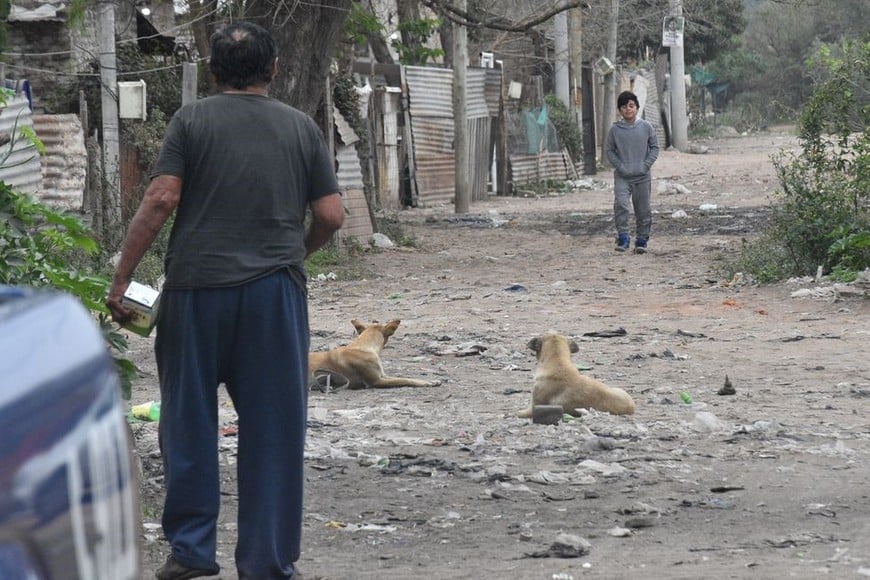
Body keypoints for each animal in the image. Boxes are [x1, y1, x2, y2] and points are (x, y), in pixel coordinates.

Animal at [310, 318, 442, 390]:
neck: (364, 346)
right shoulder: (377, 381)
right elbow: (405, 380)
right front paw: (426, 383)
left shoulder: (383, 375)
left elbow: (406, 377)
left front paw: (431, 380)